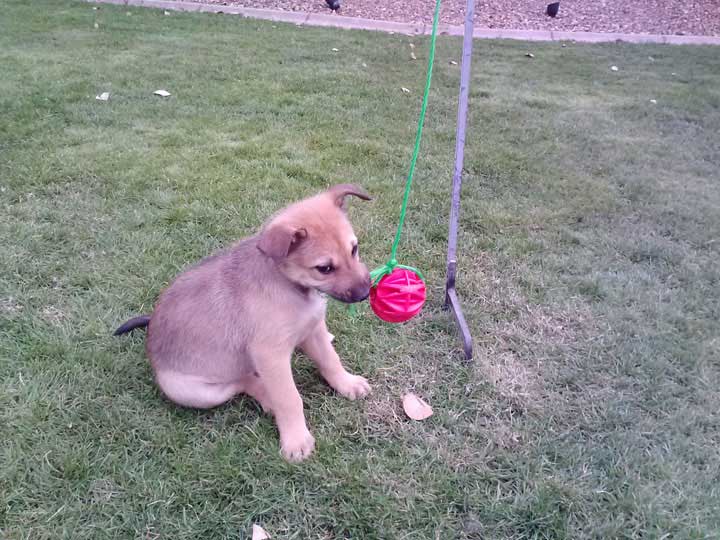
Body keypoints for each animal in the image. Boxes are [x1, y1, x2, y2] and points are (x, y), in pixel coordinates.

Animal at [115, 185, 374, 460]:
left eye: (354, 249)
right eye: (324, 268)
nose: (364, 293)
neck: (289, 286)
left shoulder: (313, 329)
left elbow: (330, 360)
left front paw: (347, 383)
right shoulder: (270, 355)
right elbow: (289, 398)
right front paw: (295, 440)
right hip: (188, 390)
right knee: (243, 381)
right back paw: (266, 397)